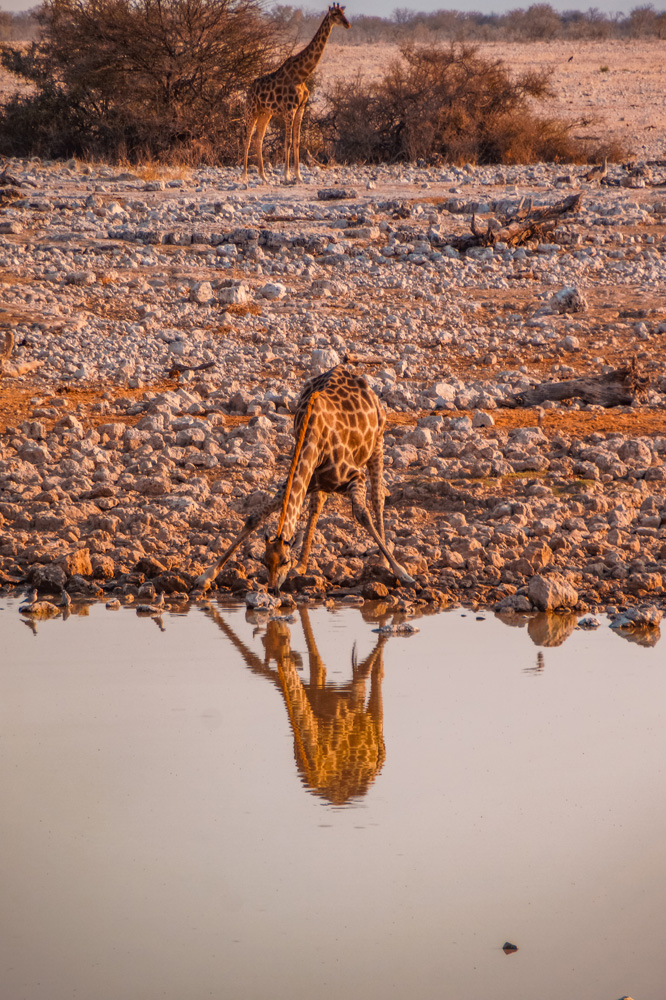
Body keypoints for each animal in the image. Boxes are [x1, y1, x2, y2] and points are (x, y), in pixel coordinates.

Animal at [195, 364, 412, 588]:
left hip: (378, 443)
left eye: (285, 561)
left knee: (378, 498)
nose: (273, 588)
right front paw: (207, 575)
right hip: (322, 482)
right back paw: (302, 565)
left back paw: (382, 562)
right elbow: (253, 518)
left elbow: (363, 514)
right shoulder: (298, 482)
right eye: (264, 561)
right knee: (317, 505)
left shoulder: (355, 476)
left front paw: (402, 573)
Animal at [241, 3, 350, 182]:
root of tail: (249, 89)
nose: (348, 24)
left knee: (259, 138)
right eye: (335, 14)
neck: (302, 74)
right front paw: (286, 175)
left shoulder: (301, 108)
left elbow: (297, 141)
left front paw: (298, 176)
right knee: (248, 137)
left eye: (343, 12)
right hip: (251, 110)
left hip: (265, 113)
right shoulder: (289, 109)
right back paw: (244, 175)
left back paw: (263, 176)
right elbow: (288, 141)